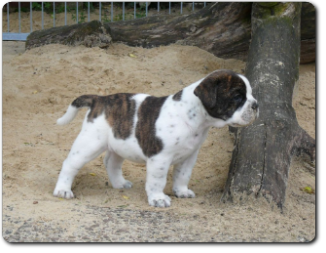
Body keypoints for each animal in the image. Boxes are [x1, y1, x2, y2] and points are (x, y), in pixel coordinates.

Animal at [53, 69, 258, 208]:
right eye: (237, 96)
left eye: (250, 94)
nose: (256, 105)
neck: (194, 116)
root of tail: (100, 100)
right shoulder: (160, 158)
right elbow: (158, 180)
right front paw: (158, 199)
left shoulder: (189, 156)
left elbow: (182, 176)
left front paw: (181, 191)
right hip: (90, 143)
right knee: (70, 164)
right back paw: (63, 190)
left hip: (120, 143)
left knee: (111, 162)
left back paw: (119, 183)